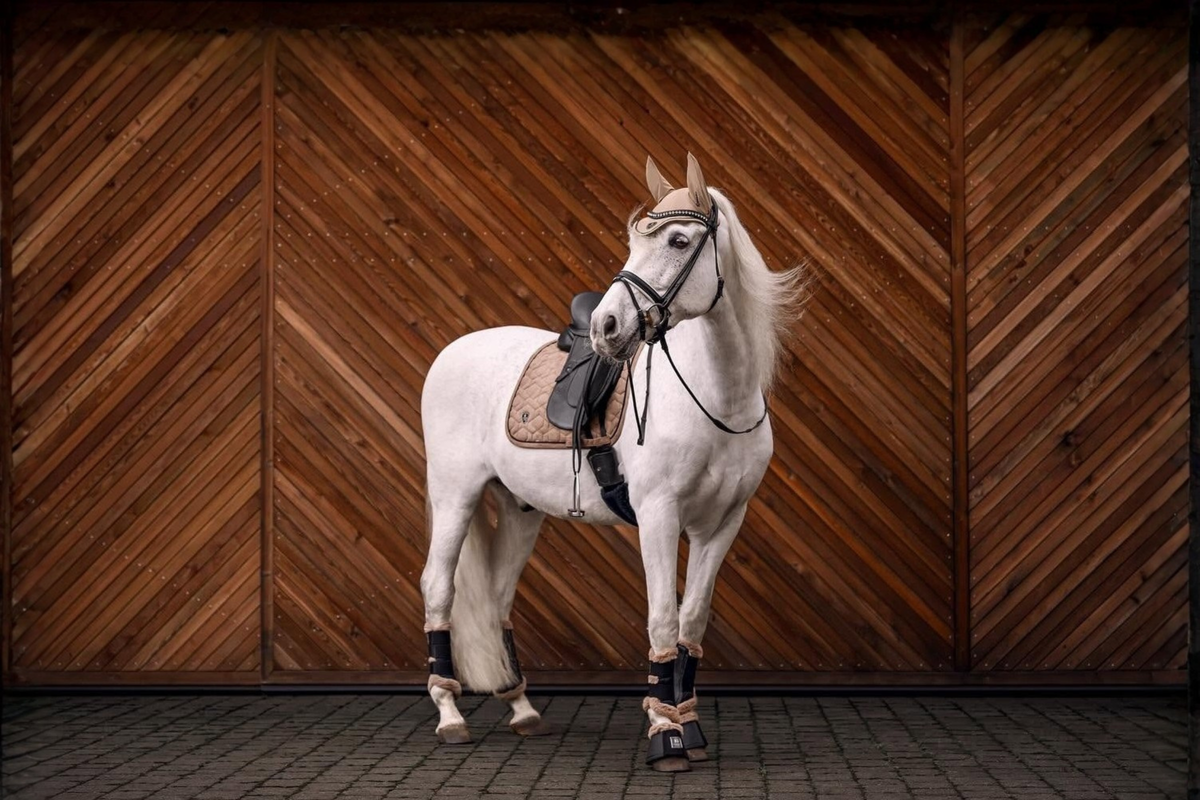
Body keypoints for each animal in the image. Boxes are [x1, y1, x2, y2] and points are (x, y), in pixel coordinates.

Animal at [419, 153, 806, 772]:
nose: (606, 327)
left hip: (520, 509)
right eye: (633, 241)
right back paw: (450, 715)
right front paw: (665, 736)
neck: (716, 399)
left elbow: (692, 621)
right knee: (438, 586)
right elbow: (663, 617)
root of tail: (453, 352)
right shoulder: (659, 516)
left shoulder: (723, 524)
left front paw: (689, 727)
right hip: (455, 494)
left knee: (498, 599)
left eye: (678, 240)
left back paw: (522, 709)